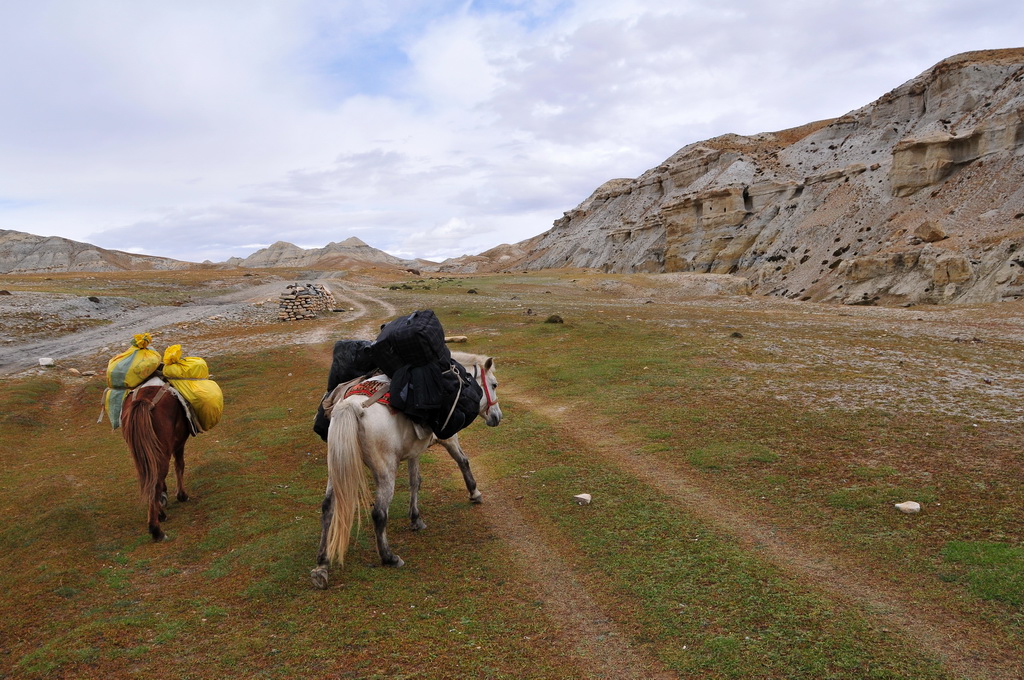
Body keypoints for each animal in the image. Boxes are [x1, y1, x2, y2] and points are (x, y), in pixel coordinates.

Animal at [120, 378, 192, 540]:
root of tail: (145, 401)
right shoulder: (179, 444)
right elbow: (180, 465)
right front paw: (182, 495)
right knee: (155, 483)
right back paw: (156, 529)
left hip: (139, 453)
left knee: (150, 479)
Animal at [311, 352, 503, 585]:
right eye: (494, 384)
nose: (497, 417)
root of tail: (354, 407)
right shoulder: (448, 438)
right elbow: (462, 461)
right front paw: (474, 493)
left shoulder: (414, 451)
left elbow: (415, 481)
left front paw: (415, 518)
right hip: (385, 472)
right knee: (379, 513)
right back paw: (389, 557)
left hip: (336, 469)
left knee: (328, 508)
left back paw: (322, 566)